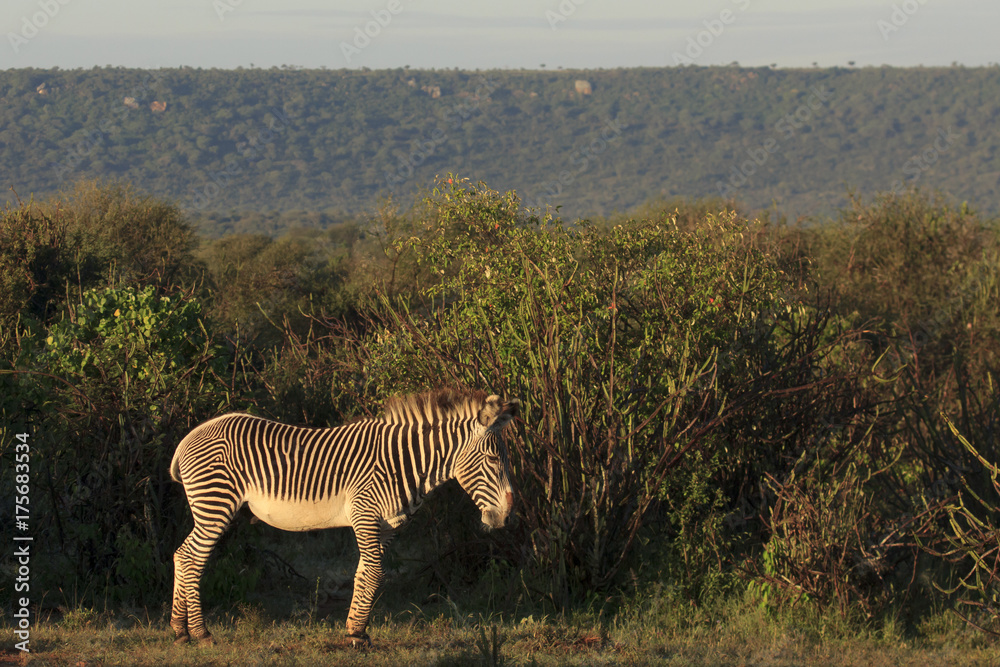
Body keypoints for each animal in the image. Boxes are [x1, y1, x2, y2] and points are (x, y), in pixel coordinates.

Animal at [169, 387, 519, 646]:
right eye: (492, 459)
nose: (506, 515)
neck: (402, 462)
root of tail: (189, 437)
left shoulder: (387, 525)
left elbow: (365, 573)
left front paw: (356, 631)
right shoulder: (364, 513)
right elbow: (375, 573)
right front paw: (356, 636)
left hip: (213, 507)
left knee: (182, 555)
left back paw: (180, 631)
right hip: (215, 503)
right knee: (192, 558)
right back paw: (200, 633)